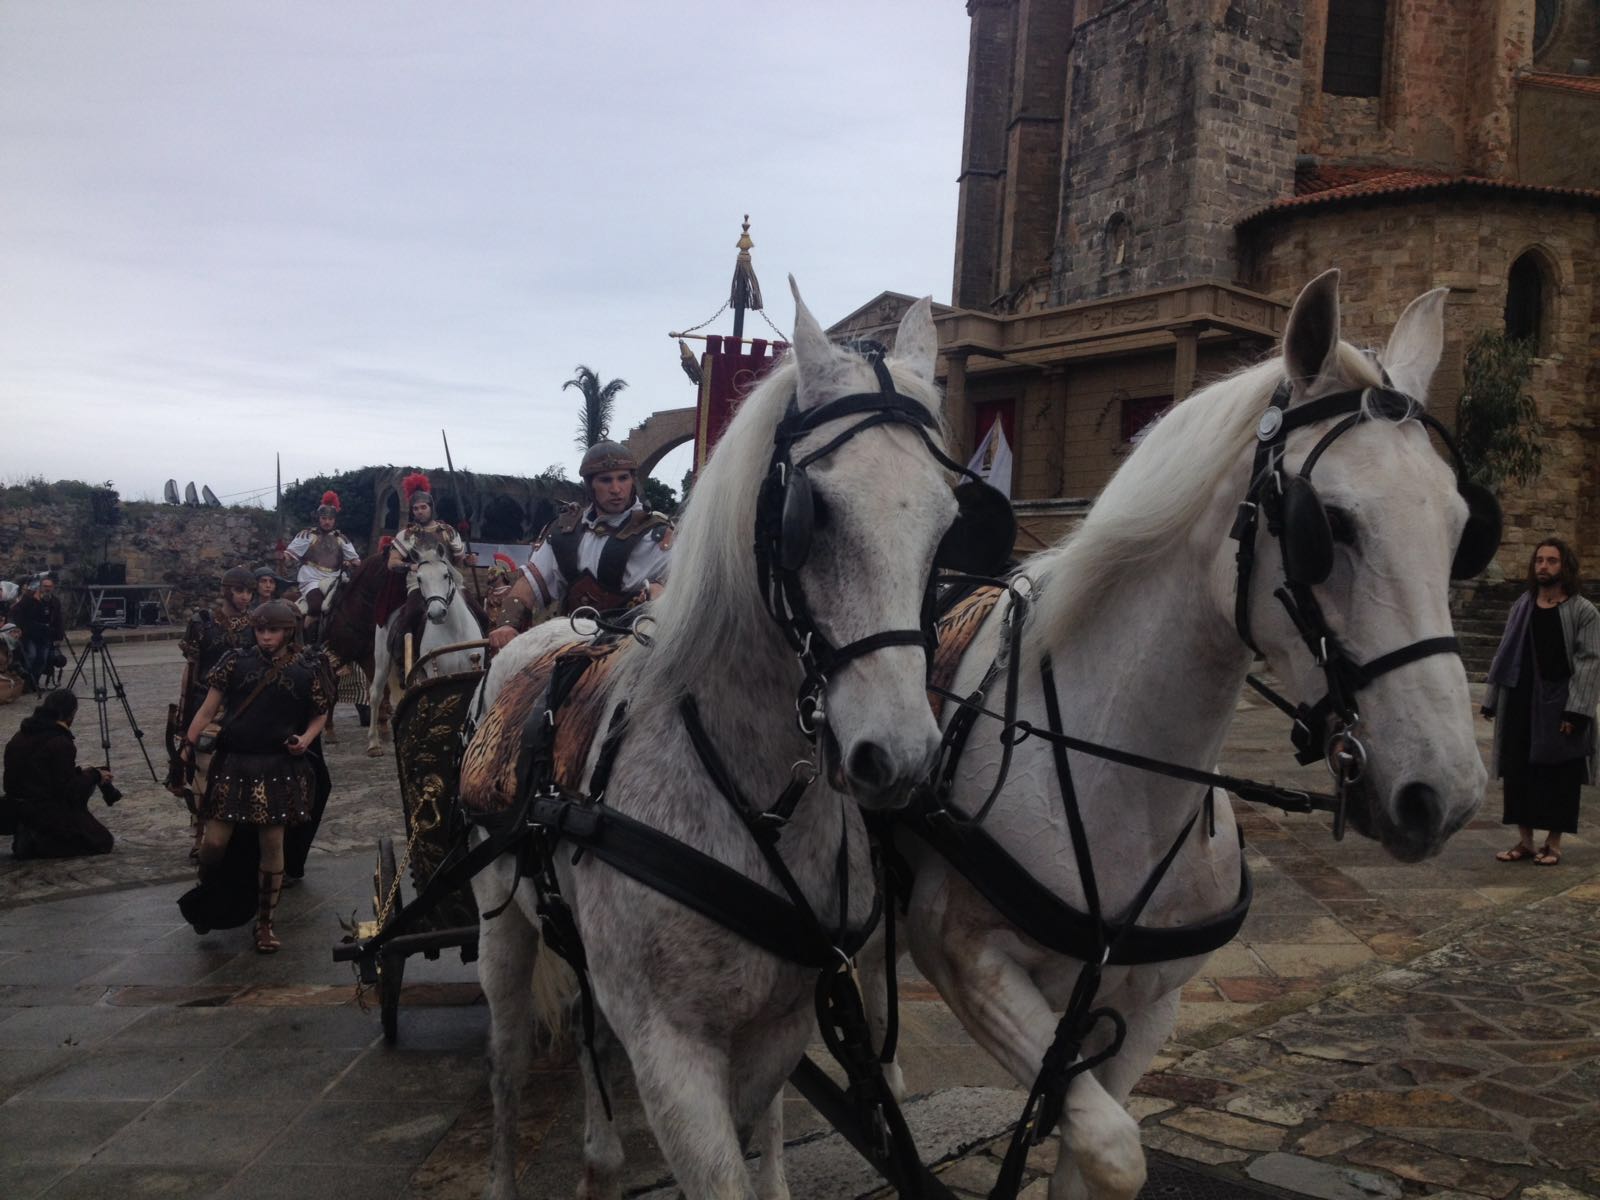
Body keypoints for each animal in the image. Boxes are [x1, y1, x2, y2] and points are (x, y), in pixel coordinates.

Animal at [366, 553, 480, 752]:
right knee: (376, 694)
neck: (454, 631)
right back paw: (373, 743)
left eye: (445, 575)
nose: (436, 613)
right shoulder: (438, 673)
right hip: (382, 661)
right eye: (419, 578)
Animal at [460, 289, 960, 1200]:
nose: (899, 755)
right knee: (506, 1066)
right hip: (501, 924)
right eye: (811, 515)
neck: (759, 798)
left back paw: (599, 1159)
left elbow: (757, 1129)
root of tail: (538, 637)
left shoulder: (780, 1022)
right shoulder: (670, 1046)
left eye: (950, 523)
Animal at [870, 272, 1491, 1200]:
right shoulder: (963, 957)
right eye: (1328, 525)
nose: (1445, 792)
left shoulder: (1143, 1003)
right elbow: (1115, 1148)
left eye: (1461, 529)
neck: (1115, 772)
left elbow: (1091, 1158)